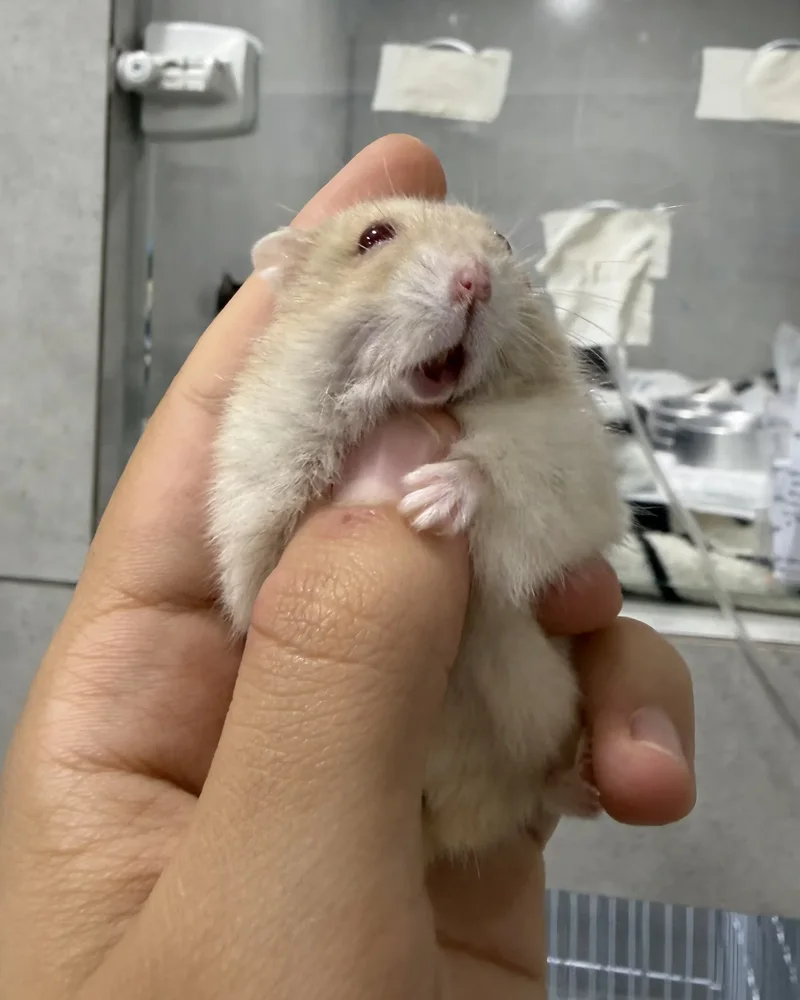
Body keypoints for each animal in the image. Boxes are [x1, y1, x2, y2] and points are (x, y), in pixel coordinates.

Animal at [209, 197, 628, 863]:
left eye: (504, 244)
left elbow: (499, 468)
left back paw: (584, 780)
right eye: (373, 237)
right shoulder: (254, 498)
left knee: (535, 789)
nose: (475, 280)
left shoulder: (568, 462)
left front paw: (428, 502)